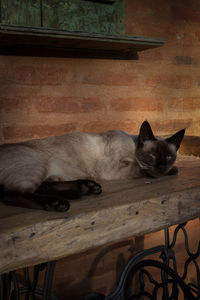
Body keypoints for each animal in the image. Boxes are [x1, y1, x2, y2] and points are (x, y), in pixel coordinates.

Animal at [0, 120, 184, 211]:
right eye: (152, 155)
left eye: (169, 157)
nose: (161, 167)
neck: (132, 146)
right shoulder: (113, 169)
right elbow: (142, 169)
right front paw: (171, 170)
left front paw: (171, 169)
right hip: (38, 164)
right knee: (13, 194)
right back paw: (57, 203)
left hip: (50, 172)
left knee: (42, 186)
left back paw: (85, 188)